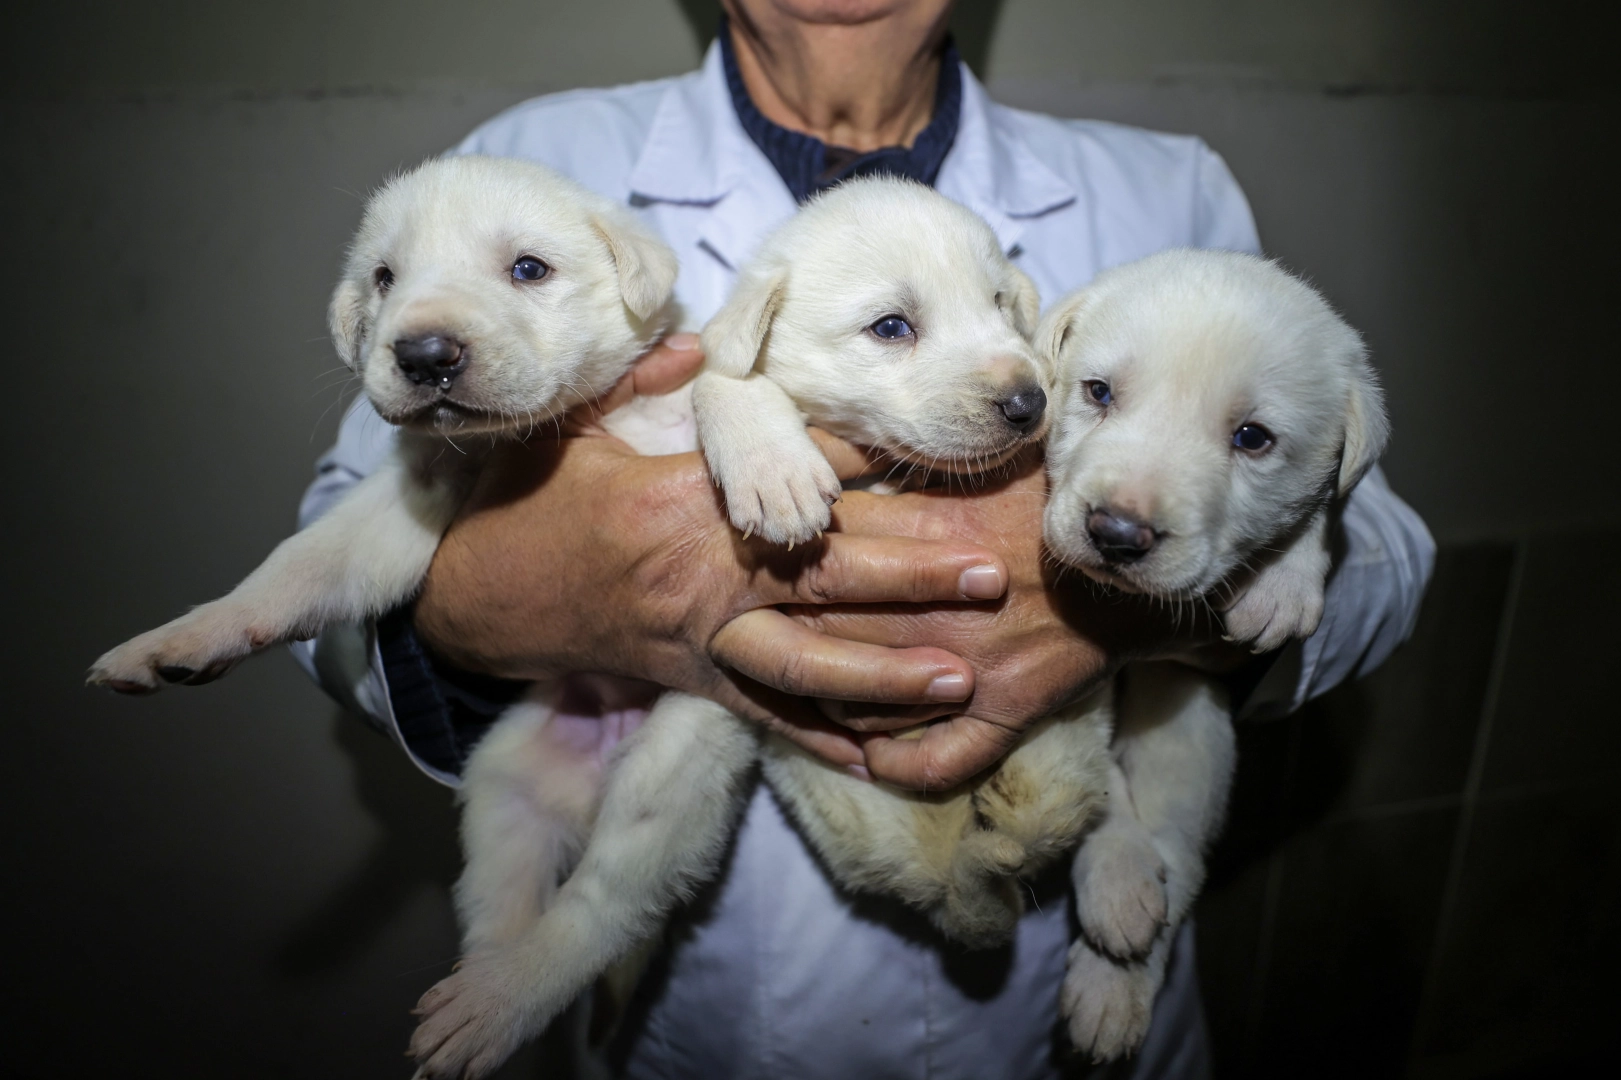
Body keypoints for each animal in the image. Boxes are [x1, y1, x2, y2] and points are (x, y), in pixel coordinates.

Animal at [87, 155, 677, 697]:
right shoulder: (408, 493)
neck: (498, 442)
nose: (426, 356)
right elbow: (301, 562)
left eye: (530, 269)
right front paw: (183, 637)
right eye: (385, 278)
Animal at [405, 180, 1115, 1070]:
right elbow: (725, 379)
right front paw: (774, 469)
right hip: (601, 769)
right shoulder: (712, 367)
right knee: (587, 900)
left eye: (999, 306)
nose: (1028, 403)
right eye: (891, 327)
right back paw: (494, 996)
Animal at [1030, 248, 1387, 1057]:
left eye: (1252, 438)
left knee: (1179, 852)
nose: (1116, 532)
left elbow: (1329, 506)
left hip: (1192, 736)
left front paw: (1283, 583)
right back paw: (1121, 892)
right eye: (1098, 392)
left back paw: (1115, 982)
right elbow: (1095, 786)